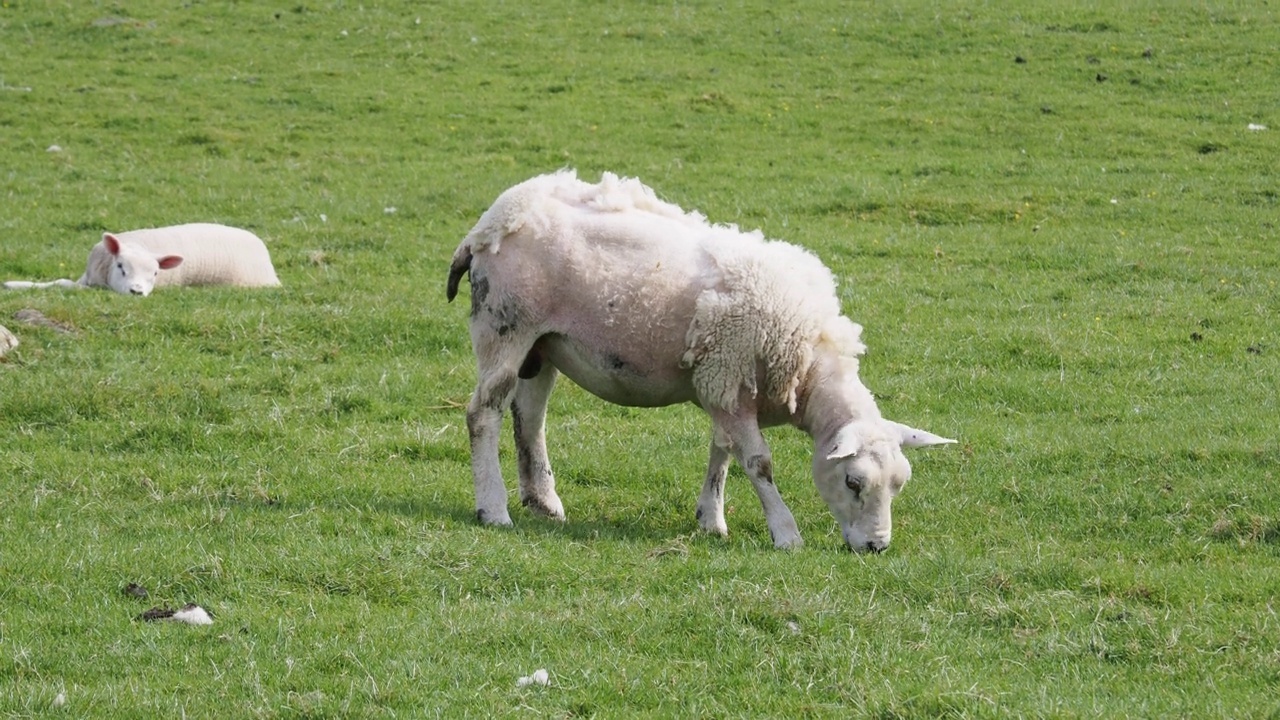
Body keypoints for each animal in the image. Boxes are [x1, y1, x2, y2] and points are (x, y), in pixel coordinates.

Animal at [445, 169, 957, 548]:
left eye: (899, 484)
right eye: (853, 482)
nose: (877, 546)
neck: (809, 368)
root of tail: (490, 220)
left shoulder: (722, 383)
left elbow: (722, 450)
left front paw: (711, 518)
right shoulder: (727, 377)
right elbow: (758, 463)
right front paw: (785, 532)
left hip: (544, 343)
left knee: (529, 418)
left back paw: (544, 502)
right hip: (505, 326)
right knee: (484, 413)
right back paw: (494, 508)